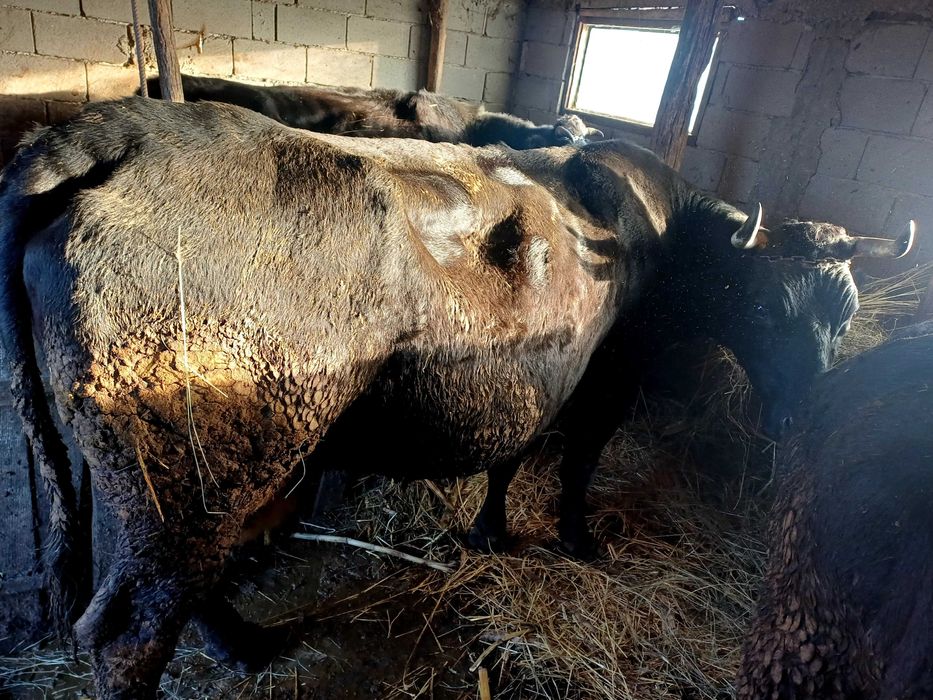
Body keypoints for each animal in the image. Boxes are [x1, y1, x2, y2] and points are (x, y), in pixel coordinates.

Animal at [0, 97, 912, 698]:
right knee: (131, 625)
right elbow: (577, 462)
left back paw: (240, 645)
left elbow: (513, 456)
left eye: (845, 312)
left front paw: (489, 530)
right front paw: (576, 537)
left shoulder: (536, 369)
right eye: (763, 308)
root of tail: (106, 132)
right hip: (201, 463)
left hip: (129, 462)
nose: (805, 414)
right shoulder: (612, 373)